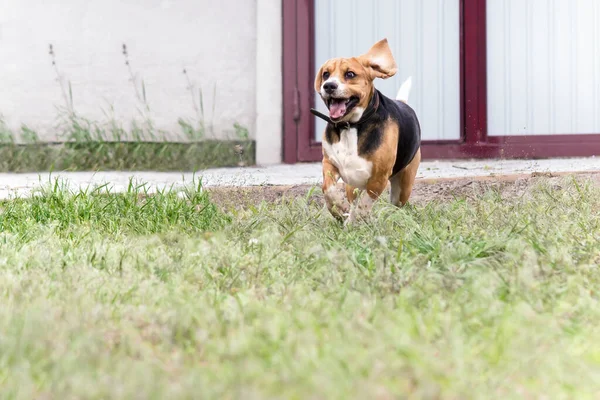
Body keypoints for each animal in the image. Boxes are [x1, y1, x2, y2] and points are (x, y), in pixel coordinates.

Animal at [314, 38, 422, 222]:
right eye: (326, 74)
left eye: (350, 74)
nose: (328, 86)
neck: (351, 126)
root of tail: (403, 103)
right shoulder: (329, 163)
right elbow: (328, 190)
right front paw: (339, 209)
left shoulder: (378, 177)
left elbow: (364, 204)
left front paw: (356, 219)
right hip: (351, 185)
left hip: (403, 187)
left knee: (395, 202)